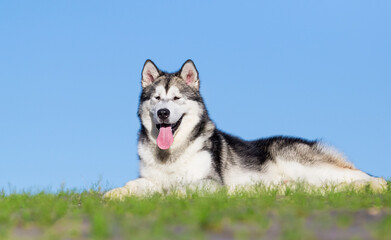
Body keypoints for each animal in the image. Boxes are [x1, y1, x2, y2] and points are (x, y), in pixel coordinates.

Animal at [103, 60, 386, 199]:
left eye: (176, 99)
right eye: (157, 99)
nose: (163, 113)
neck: (172, 154)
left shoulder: (210, 184)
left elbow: (178, 189)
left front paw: (168, 196)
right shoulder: (149, 179)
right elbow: (133, 185)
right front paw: (113, 194)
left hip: (305, 165)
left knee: (368, 177)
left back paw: (375, 187)